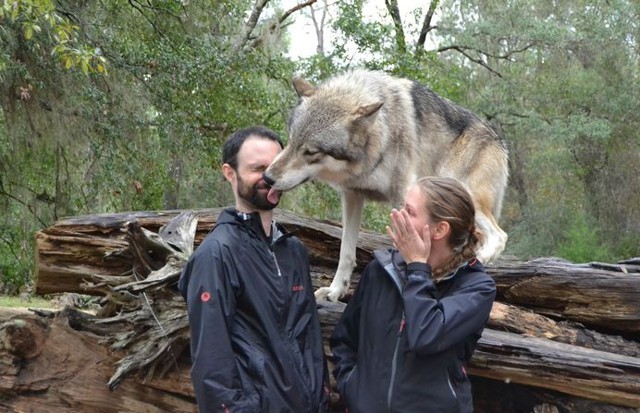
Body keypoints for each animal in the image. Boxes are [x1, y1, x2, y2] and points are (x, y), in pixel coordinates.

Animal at [262, 70, 508, 302]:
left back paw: (478, 260)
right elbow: (346, 252)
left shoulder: (403, 196)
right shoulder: (352, 195)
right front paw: (335, 291)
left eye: (310, 152)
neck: (379, 139)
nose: (267, 178)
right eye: (291, 141)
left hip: (459, 190)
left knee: (499, 235)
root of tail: (499, 139)